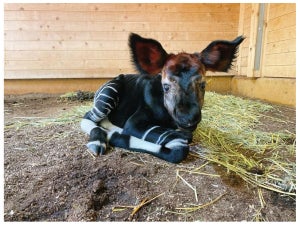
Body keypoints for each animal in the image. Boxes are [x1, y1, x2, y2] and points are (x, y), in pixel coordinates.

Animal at [81, 32, 244, 163]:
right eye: (166, 86)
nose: (188, 118)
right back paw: (97, 143)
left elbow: (182, 136)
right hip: (109, 94)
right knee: (88, 116)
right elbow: (179, 145)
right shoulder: (134, 123)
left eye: (203, 85)